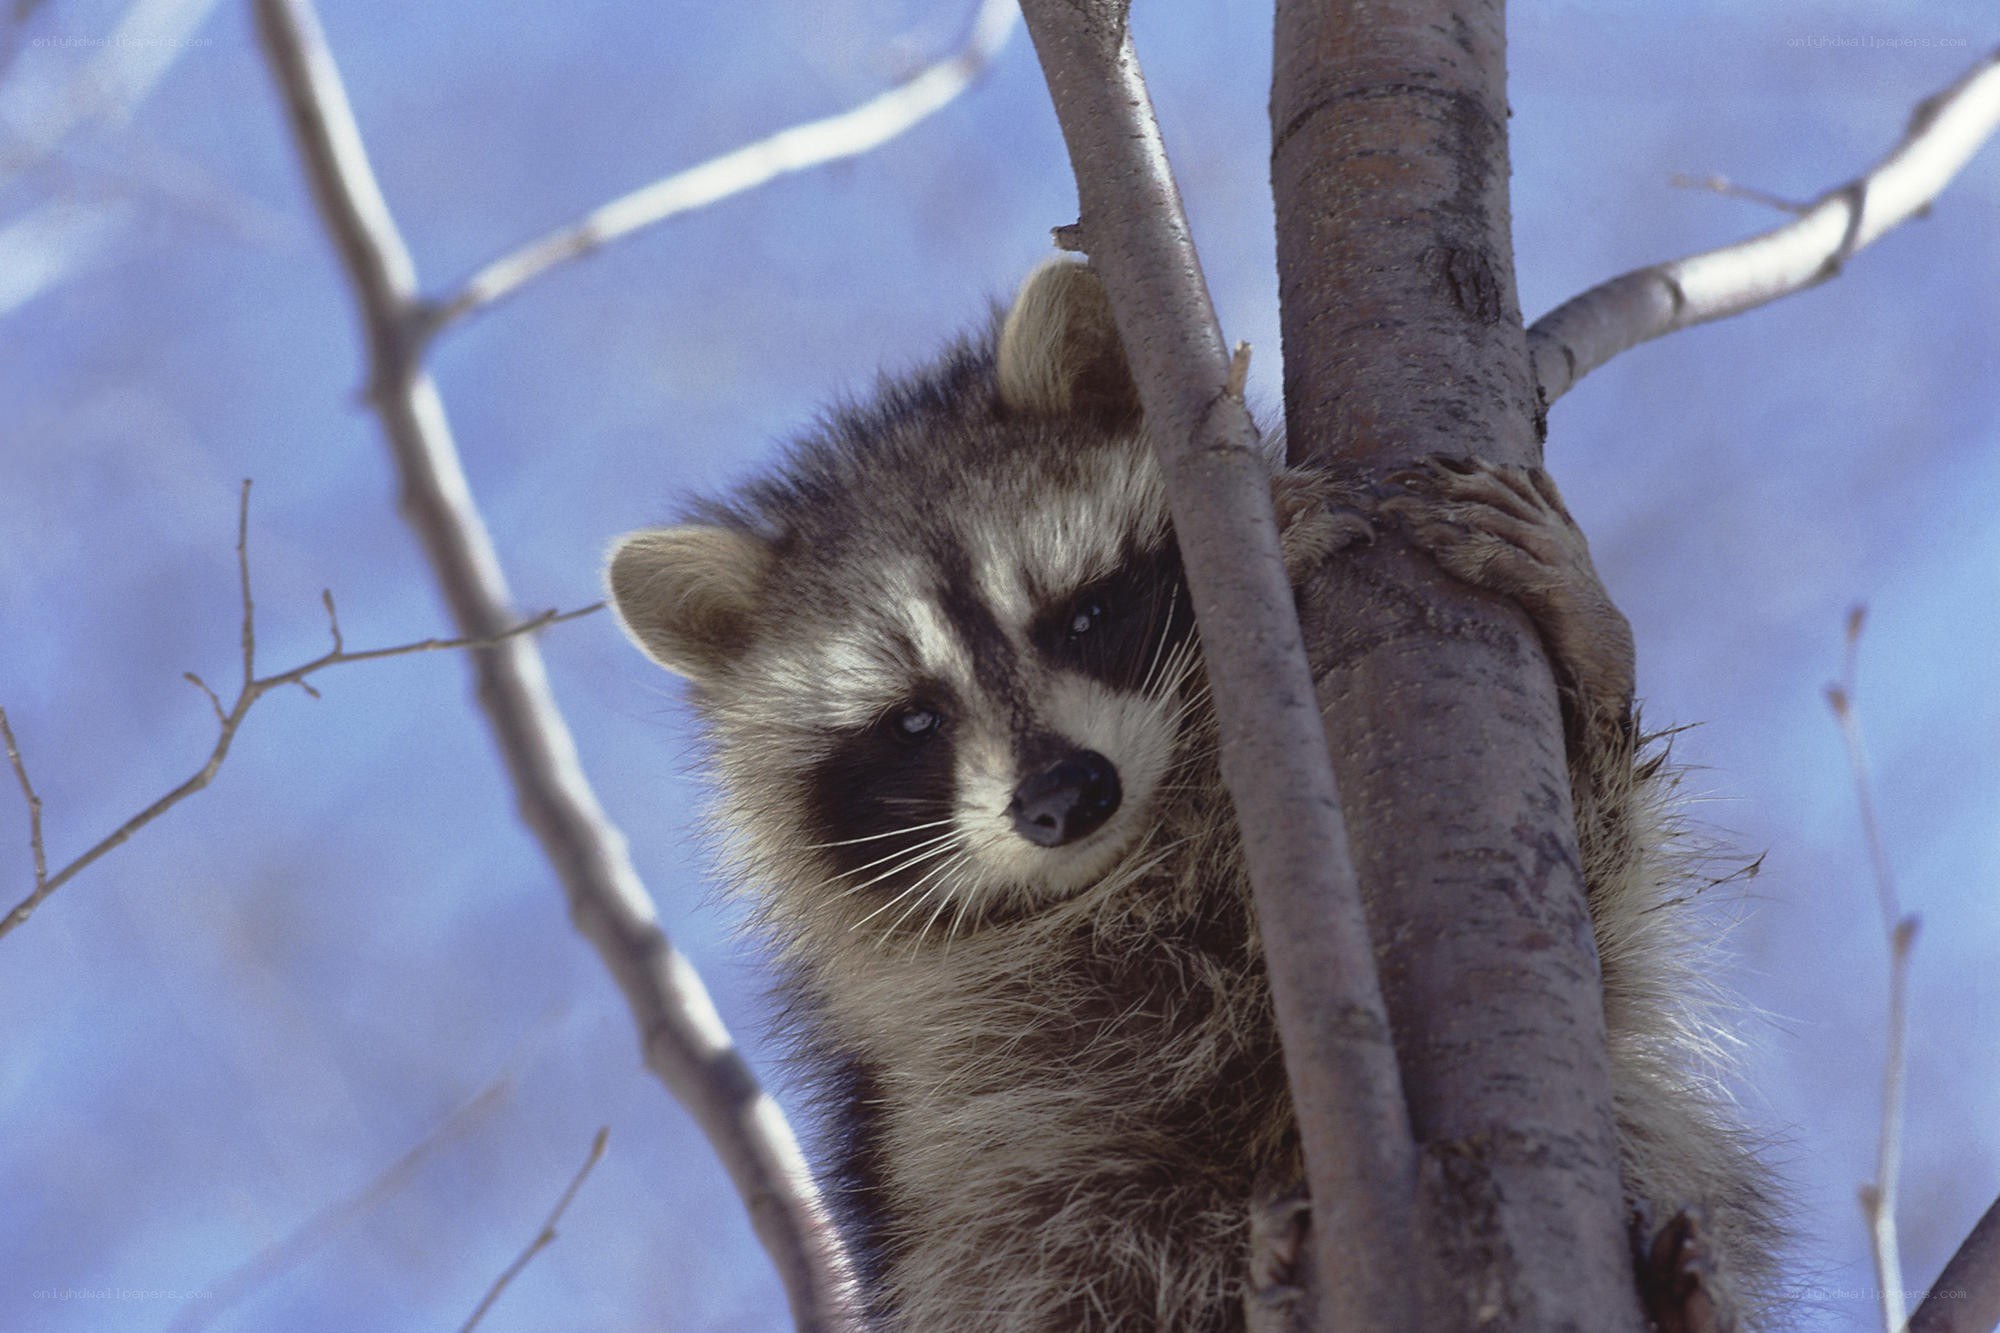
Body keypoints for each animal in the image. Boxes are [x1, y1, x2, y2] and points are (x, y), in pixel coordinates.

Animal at [606, 260, 1781, 1329]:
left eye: (1082, 615)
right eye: (913, 722)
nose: (1062, 796)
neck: (1149, 842)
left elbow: (1598, 910)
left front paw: (1590, 653)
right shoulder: (966, 1047)